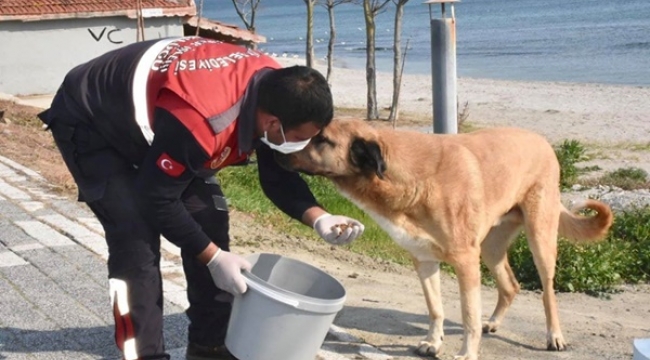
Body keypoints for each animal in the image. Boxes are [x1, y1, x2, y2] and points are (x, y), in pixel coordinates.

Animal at [276, 119, 612, 360]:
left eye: (322, 139)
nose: (277, 154)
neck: (408, 178)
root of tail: (542, 141)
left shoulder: (465, 262)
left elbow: (468, 316)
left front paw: (466, 353)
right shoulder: (425, 261)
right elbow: (436, 308)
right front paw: (432, 343)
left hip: (539, 238)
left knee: (547, 292)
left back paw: (554, 336)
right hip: (491, 248)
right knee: (510, 285)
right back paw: (494, 322)